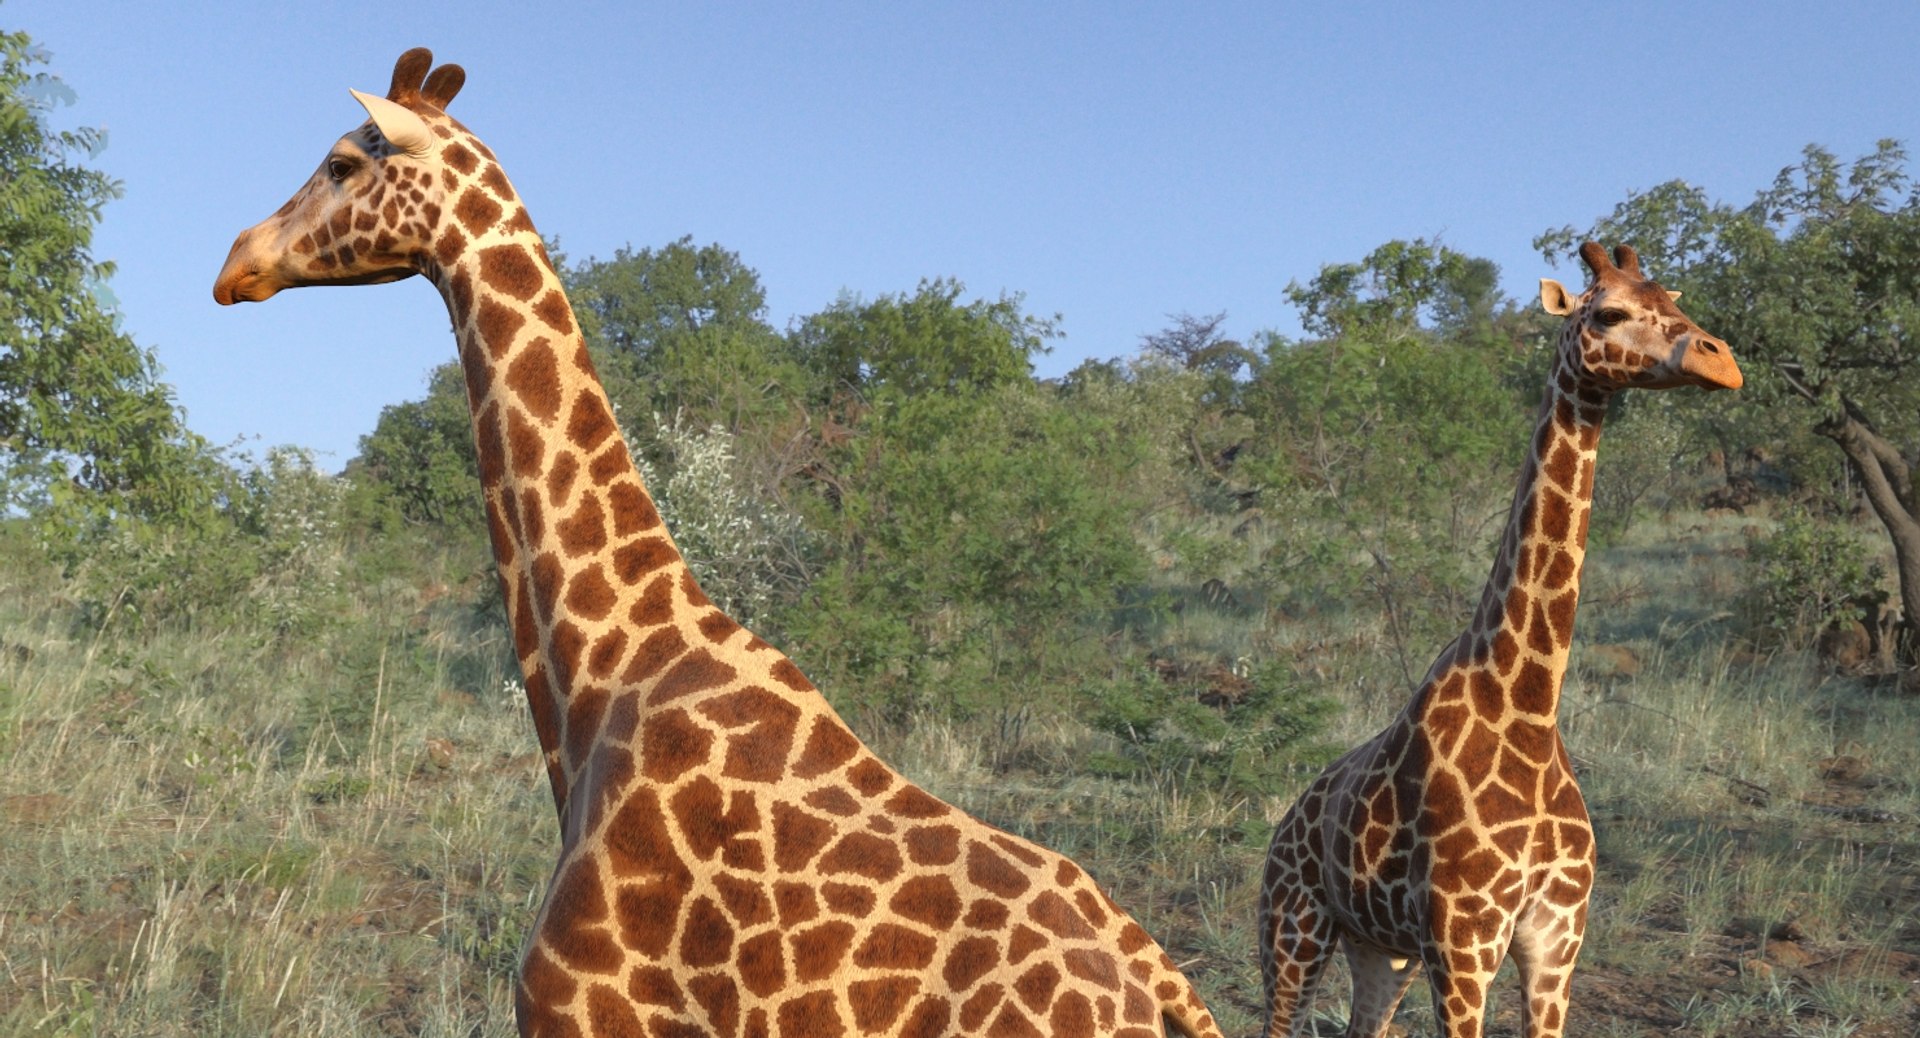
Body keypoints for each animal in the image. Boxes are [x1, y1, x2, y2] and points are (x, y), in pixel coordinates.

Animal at [1256, 242, 1741, 1038]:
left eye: (1675, 299)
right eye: (1607, 313)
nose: (1721, 362)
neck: (1531, 703)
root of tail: (1292, 813)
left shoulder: (1555, 944)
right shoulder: (1463, 944)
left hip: (1381, 949)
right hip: (1292, 925)